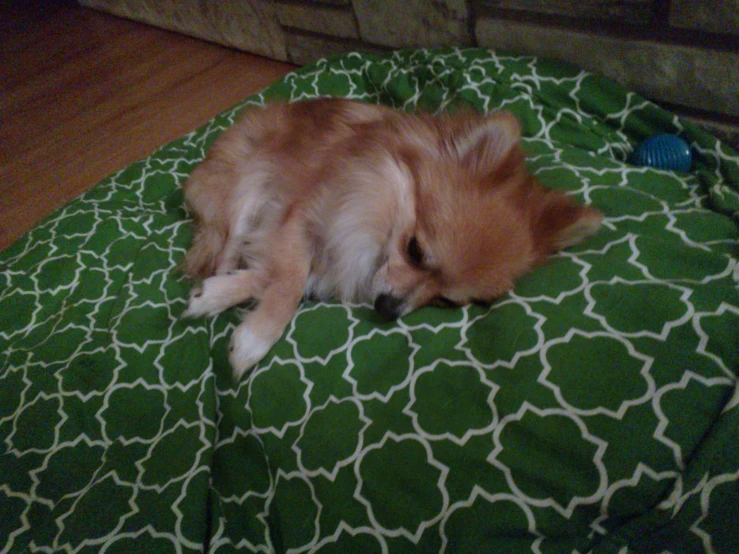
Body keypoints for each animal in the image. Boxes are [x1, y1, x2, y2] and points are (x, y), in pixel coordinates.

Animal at [182, 97, 604, 378]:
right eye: (414, 250)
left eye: (446, 302)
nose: (387, 309)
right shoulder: (299, 217)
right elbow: (288, 282)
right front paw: (255, 339)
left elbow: (286, 277)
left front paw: (222, 296)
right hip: (245, 190)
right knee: (226, 246)